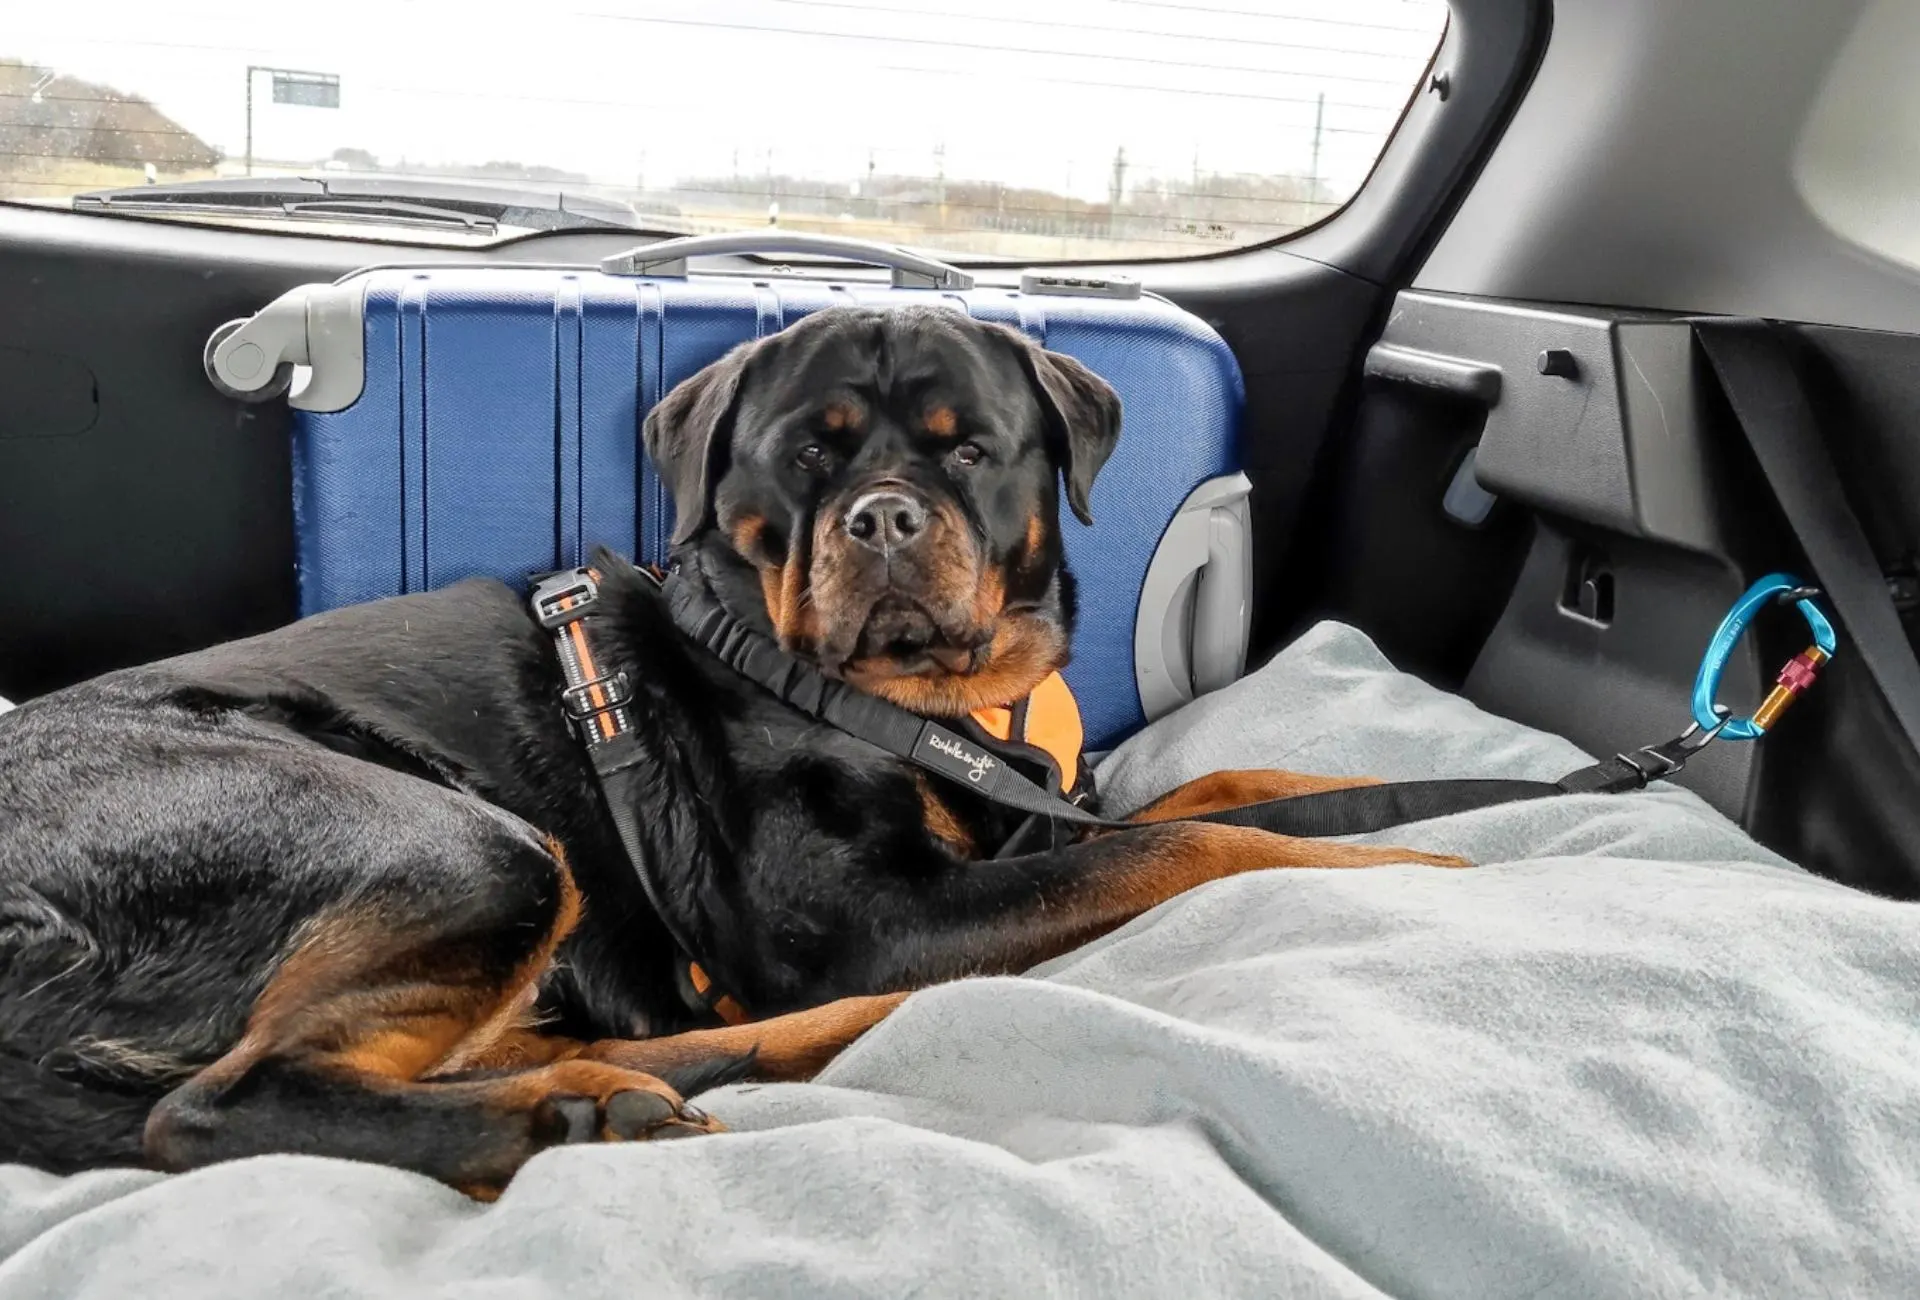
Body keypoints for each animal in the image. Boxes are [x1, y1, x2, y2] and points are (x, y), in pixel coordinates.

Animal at [0, 307, 1451, 1198]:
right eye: (799, 458)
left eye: (971, 451)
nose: (881, 519)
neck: (927, 702)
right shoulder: (873, 924)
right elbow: (1190, 841)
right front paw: (1414, 866)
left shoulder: (1041, 820)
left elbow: (1228, 787)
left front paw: (1410, 809)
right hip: (461, 840)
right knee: (219, 1104)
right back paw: (576, 1112)